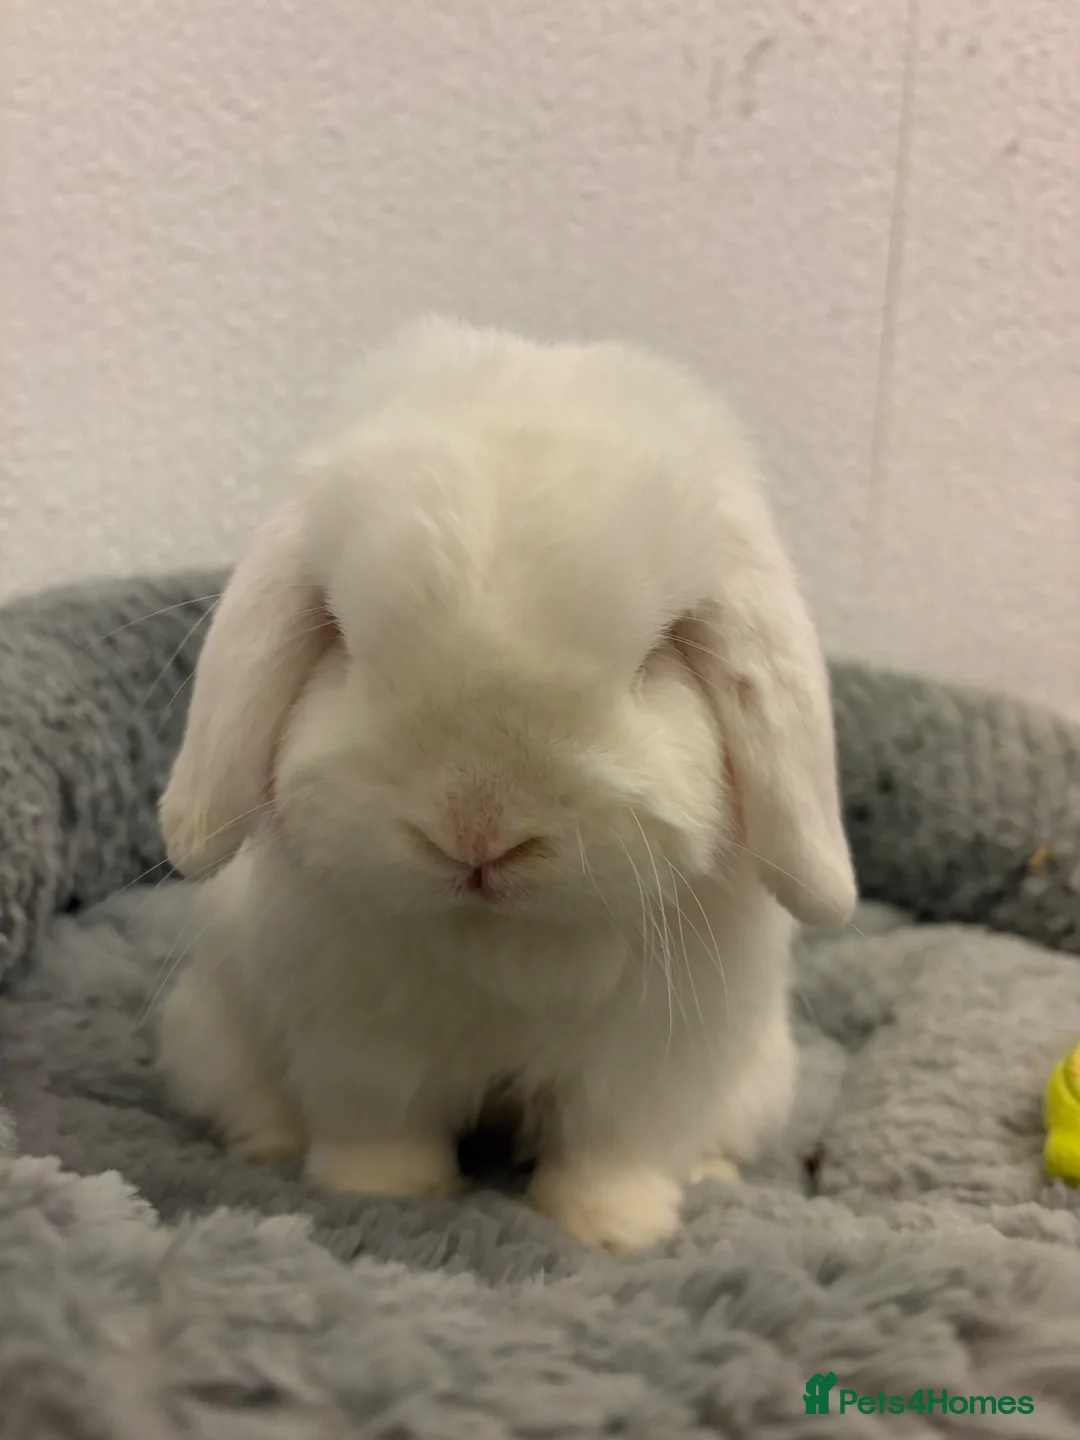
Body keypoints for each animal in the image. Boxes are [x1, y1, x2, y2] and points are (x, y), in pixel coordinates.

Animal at [155, 316, 856, 1252]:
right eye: (340, 634)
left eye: (659, 653)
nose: (476, 832)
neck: (504, 941)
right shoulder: (362, 1040)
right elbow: (381, 1126)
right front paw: (387, 1194)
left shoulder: (648, 1062)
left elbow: (615, 1147)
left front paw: (609, 1231)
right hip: (214, 1039)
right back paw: (270, 1147)